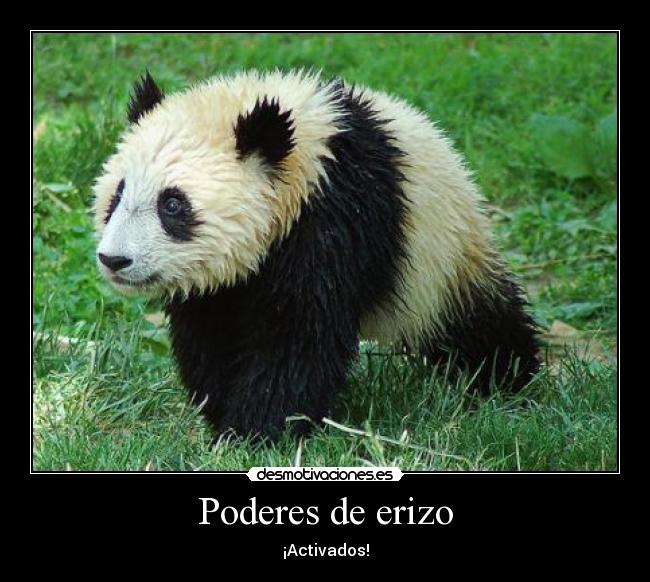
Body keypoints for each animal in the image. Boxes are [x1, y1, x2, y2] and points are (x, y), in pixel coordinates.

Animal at [94, 70, 540, 441]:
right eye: (117, 195)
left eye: (172, 205)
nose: (115, 260)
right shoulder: (222, 282)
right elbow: (210, 331)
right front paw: (222, 413)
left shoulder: (337, 217)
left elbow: (300, 331)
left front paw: (258, 429)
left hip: (441, 255)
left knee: (477, 324)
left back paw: (507, 380)